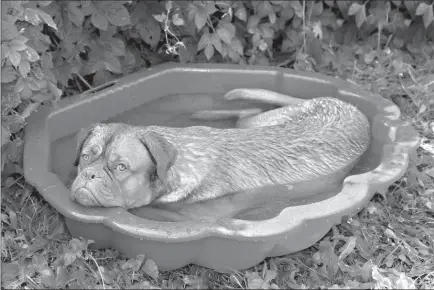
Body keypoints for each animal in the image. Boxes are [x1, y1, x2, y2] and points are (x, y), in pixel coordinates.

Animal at [70, 88, 370, 222]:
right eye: (86, 156)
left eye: (121, 167)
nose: (89, 174)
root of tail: (348, 105)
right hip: (263, 120)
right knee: (247, 112)